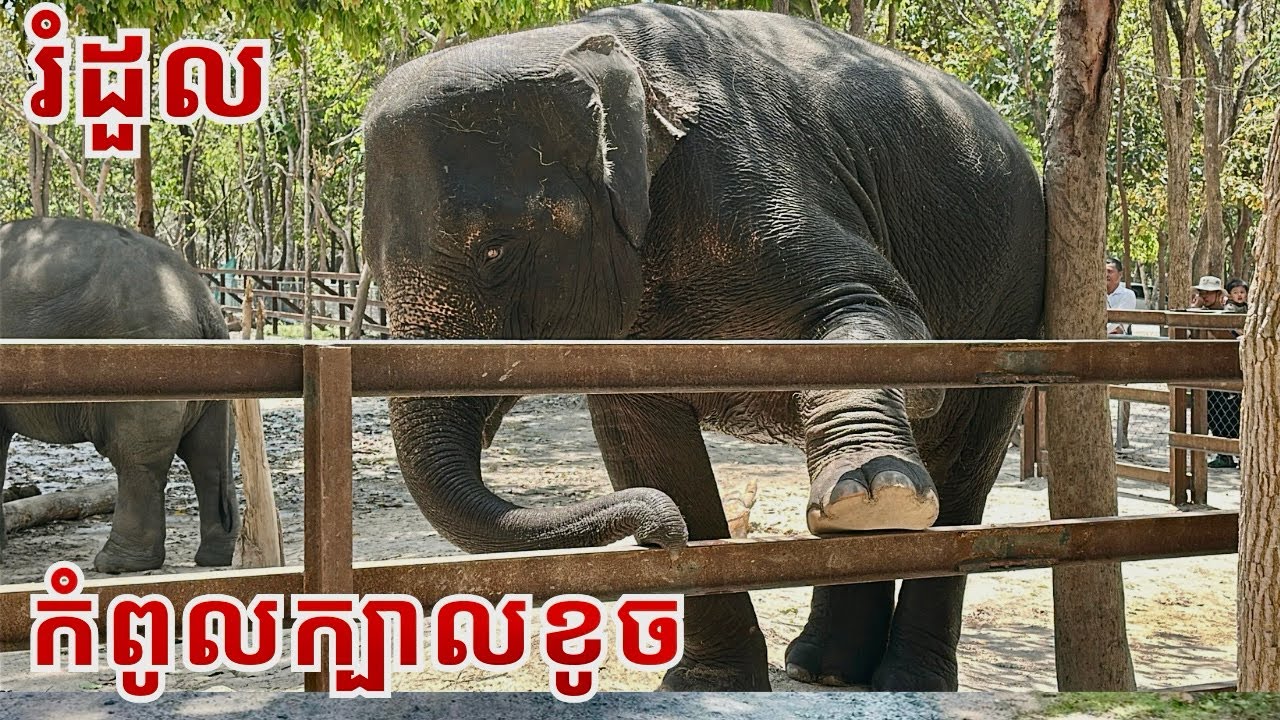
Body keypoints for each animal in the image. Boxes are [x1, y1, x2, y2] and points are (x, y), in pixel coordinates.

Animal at [0, 217, 239, 573]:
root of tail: (203, 303)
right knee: (208, 455)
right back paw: (215, 558)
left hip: (144, 365)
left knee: (137, 458)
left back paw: (116, 564)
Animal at [362, 3, 1045, 691]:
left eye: (495, 251)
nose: (662, 534)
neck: (587, 47)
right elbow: (648, 446)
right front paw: (709, 680)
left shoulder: (752, 171)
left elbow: (891, 324)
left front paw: (876, 488)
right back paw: (824, 669)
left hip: (1017, 291)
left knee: (965, 471)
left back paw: (903, 673)